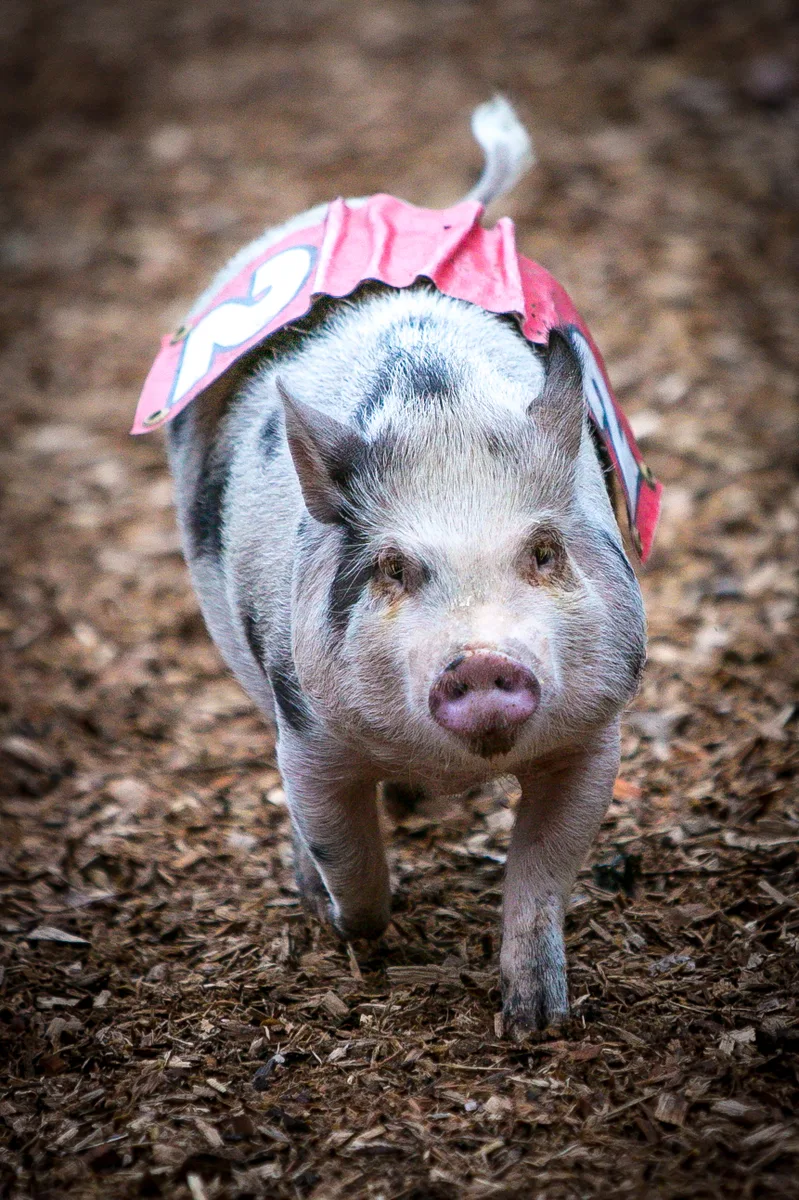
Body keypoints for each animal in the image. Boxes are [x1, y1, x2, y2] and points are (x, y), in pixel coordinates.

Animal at [165, 98, 646, 1037]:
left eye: (543, 551)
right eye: (391, 567)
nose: (484, 660)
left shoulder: (595, 729)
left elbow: (543, 873)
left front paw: (535, 1022)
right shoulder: (307, 724)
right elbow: (346, 853)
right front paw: (349, 932)